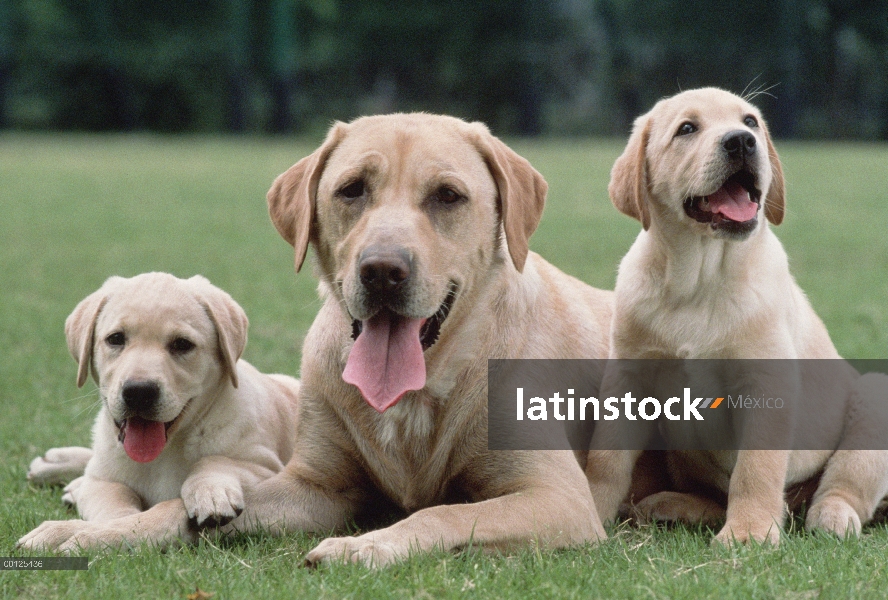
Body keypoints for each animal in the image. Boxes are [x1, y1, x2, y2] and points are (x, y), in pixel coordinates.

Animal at [17, 274, 300, 552]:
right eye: (116, 339)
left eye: (182, 344)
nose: (139, 392)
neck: (165, 452)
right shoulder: (103, 482)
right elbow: (117, 510)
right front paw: (102, 530)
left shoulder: (266, 467)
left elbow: (216, 460)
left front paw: (210, 491)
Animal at [224, 113, 616, 568]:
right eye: (352, 189)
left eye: (447, 196)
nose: (381, 271)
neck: (418, 391)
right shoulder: (314, 485)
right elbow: (224, 502)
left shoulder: (559, 496)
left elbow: (443, 513)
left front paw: (365, 545)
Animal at [584, 88, 888, 544]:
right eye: (687, 128)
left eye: (750, 122)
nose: (742, 142)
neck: (697, 280)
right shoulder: (628, 376)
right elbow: (605, 457)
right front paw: (587, 508)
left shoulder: (766, 385)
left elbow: (755, 470)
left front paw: (749, 533)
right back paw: (671, 506)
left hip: (872, 397)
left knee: (844, 485)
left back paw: (831, 516)